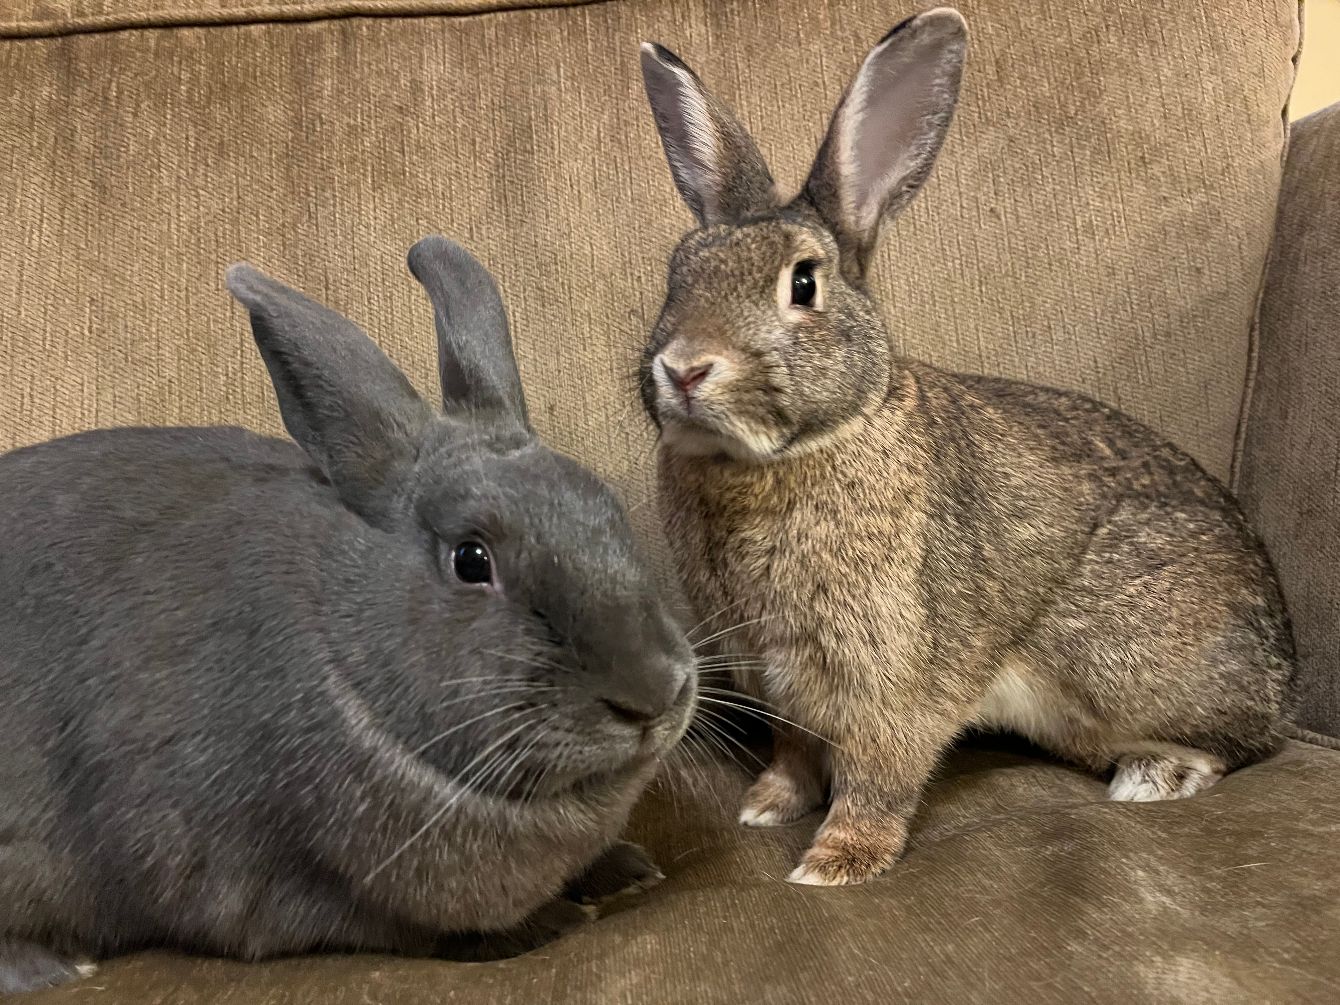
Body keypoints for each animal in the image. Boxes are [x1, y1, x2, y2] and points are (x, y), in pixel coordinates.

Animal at [0, 236, 696, 995]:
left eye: (608, 507)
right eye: (471, 559)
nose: (653, 693)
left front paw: (628, 870)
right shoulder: (275, 882)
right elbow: (403, 928)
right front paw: (548, 923)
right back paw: (54, 967)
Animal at [636, 7, 1294, 887]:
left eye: (803, 284)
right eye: (678, 275)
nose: (684, 367)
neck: (790, 452)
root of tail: (1287, 677)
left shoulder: (893, 672)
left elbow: (880, 772)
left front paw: (837, 861)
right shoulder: (779, 682)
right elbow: (796, 755)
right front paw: (767, 805)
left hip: (1130, 671)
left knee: (1238, 744)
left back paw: (1156, 776)